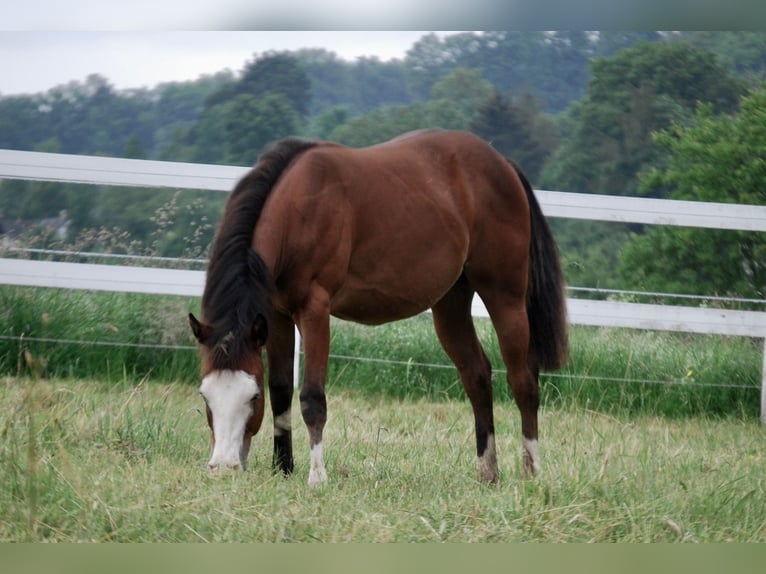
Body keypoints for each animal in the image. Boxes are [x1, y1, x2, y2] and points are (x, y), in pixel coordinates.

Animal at [188, 129, 568, 486]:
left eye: (252, 398)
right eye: (206, 397)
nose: (224, 467)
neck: (298, 208)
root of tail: (502, 163)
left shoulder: (314, 311)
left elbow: (311, 397)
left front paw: (317, 477)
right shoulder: (276, 316)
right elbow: (282, 391)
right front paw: (282, 469)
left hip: (505, 295)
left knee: (523, 380)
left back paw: (531, 470)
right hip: (450, 304)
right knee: (476, 375)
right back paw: (487, 471)